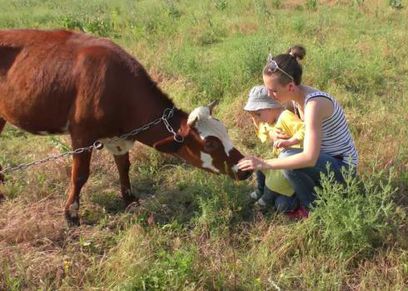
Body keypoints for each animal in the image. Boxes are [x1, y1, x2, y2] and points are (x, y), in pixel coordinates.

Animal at [0, 29, 250, 226]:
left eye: (226, 132)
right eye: (210, 144)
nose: (245, 168)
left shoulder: (119, 137)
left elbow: (124, 166)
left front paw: (130, 199)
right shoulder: (81, 134)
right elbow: (79, 175)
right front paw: (71, 215)